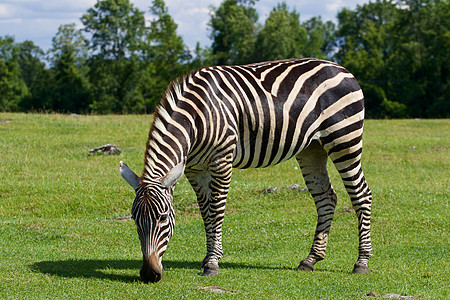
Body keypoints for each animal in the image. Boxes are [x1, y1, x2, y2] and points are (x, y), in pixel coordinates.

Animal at [119, 58, 372, 284]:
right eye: (134, 219)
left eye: (163, 218)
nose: (149, 274)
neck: (196, 118)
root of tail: (342, 68)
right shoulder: (194, 169)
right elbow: (205, 213)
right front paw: (208, 258)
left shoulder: (221, 160)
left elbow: (216, 211)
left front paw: (212, 264)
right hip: (313, 148)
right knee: (326, 197)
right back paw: (310, 260)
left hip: (344, 139)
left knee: (361, 194)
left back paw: (361, 262)